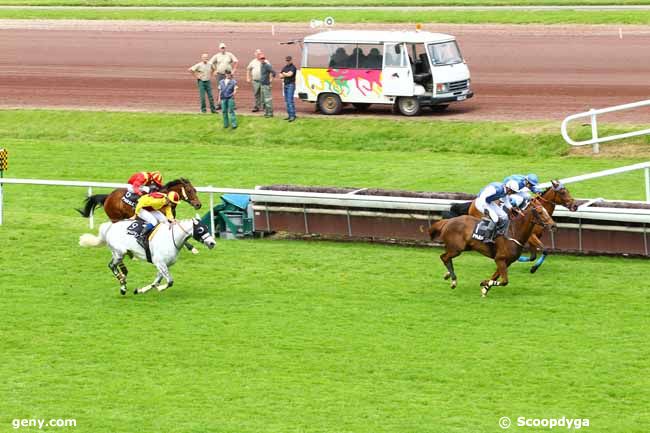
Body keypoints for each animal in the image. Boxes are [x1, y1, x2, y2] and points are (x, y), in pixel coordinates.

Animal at [78, 216, 215, 294]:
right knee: (111, 266)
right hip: (119, 253)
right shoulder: (160, 263)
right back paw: (122, 286)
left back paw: (124, 281)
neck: (172, 239)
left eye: (207, 228)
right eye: (200, 230)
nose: (212, 243)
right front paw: (160, 289)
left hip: (122, 253)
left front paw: (140, 290)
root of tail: (110, 226)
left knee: (123, 269)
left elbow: (156, 281)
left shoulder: (164, 265)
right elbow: (169, 281)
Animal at [428, 197, 556, 296]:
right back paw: (453, 280)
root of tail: (447, 221)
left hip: (464, 247)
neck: (513, 233)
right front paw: (485, 286)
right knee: (444, 257)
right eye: (540, 212)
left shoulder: (507, 262)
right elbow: (504, 281)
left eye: (546, 210)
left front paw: (484, 287)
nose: (553, 225)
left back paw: (448, 275)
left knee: (446, 258)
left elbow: (495, 277)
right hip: (457, 249)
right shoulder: (500, 259)